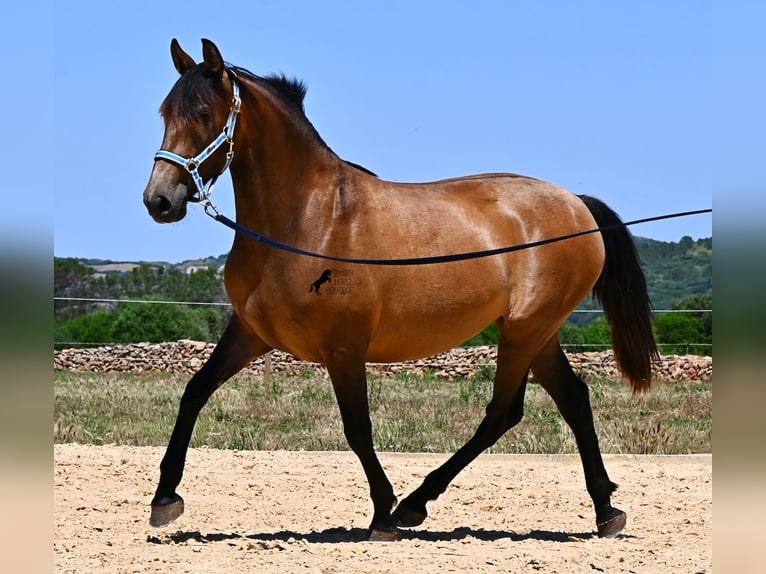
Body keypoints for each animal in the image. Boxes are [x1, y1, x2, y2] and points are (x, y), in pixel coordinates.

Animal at [142, 38, 658, 541]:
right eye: (165, 113)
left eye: (203, 114)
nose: (158, 201)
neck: (309, 220)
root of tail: (577, 204)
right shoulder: (250, 334)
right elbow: (194, 391)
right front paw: (164, 499)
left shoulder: (344, 347)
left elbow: (357, 428)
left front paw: (381, 514)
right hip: (537, 333)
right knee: (571, 400)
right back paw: (605, 511)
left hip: (526, 331)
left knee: (503, 412)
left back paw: (413, 505)